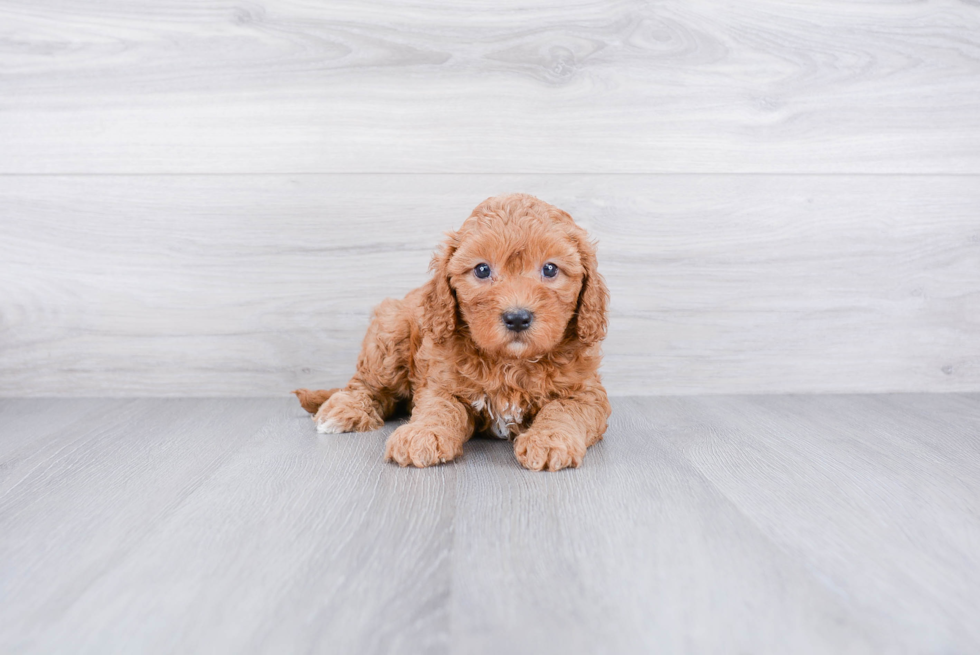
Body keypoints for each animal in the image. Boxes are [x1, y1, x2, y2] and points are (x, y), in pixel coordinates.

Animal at [294, 191, 608, 472]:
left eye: (550, 269)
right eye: (482, 270)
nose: (517, 318)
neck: (510, 362)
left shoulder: (586, 393)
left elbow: (563, 409)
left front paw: (550, 439)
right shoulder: (440, 382)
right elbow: (438, 408)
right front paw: (422, 434)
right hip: (390, 334)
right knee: (365, 385)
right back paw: (344, 410)